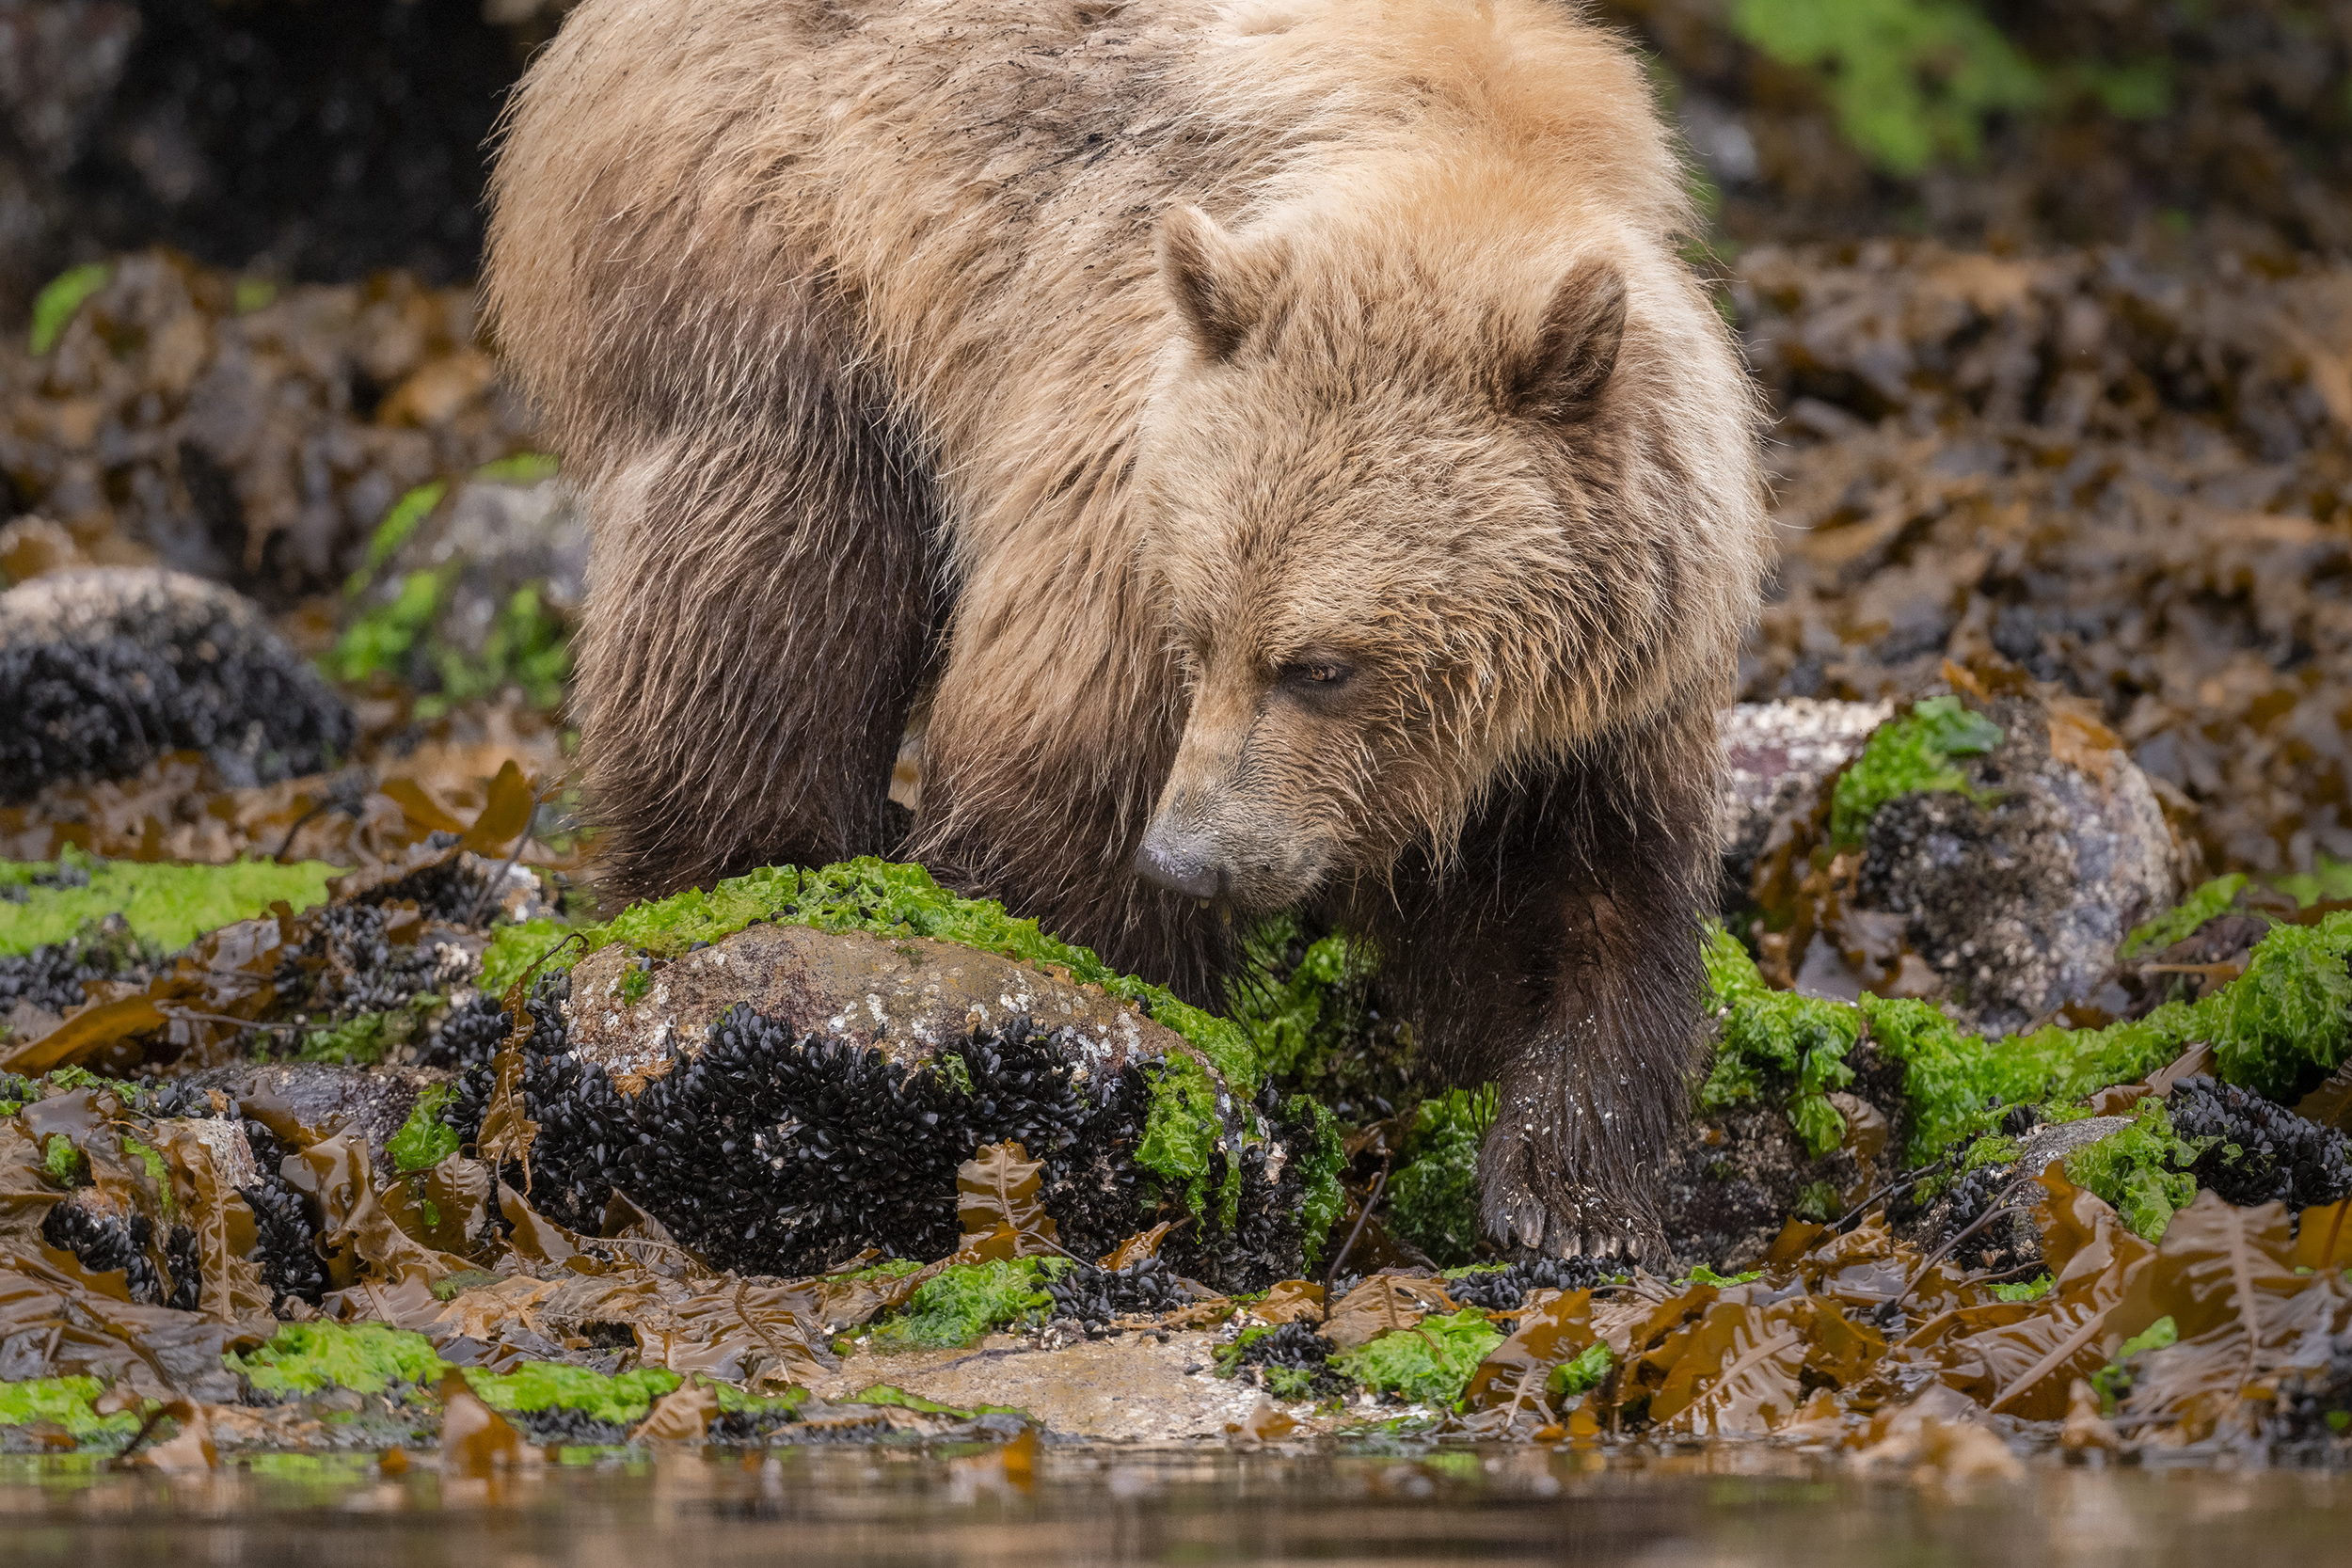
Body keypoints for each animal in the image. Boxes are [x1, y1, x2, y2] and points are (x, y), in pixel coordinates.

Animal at [484, 0, 1770, 1261]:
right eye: (1198, 634)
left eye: (1323, 665)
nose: (1190, 855)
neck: (1472, 160)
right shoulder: (1118, 482)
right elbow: (1055, 784)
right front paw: (1159, 1056)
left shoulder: (1612, 678)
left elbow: (1590, 899)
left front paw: (1571, 1195)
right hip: (762, 269)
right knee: (771, 578)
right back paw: (742, 878)